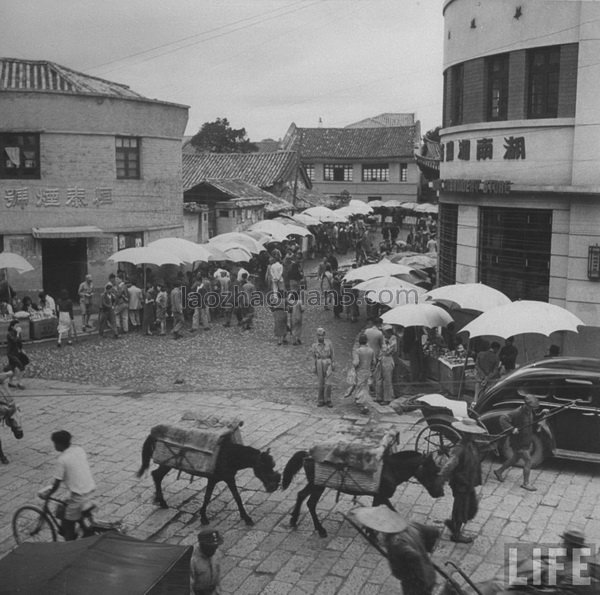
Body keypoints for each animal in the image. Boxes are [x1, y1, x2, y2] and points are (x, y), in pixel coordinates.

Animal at [137, 434, 282, 528]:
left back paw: (160, 501)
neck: (229, 455)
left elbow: (237, 497)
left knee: (156, 475)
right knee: (156, 475)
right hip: (167, 462)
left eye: (273, 465)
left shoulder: (229, 478)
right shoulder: (213, 479)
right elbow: (207, 497)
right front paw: (203, 517)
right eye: (264, 467)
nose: (274, 486)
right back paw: (161, 501)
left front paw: (246, 517)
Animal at [282, 452, 446, 540]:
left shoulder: (378, 497)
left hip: (314, 485)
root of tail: (307, 455)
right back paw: (320, 529)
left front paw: (370, 531)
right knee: (310, 503)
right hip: (318, 486)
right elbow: (391, 509)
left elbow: (379, 509)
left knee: (301, 495)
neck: (391, 469)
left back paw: (294, 521)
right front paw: (373, 534)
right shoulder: (382, 495)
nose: (441, 493)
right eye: (433, 471)